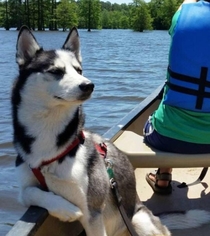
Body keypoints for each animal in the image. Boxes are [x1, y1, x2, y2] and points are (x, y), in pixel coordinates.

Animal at [11, 25, 210, 236]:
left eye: (78, 70)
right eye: (56, 71)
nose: (88, 85)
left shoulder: (92, 212)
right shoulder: (26, 187)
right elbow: (30, 192)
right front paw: (65, 209)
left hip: (139, 220)